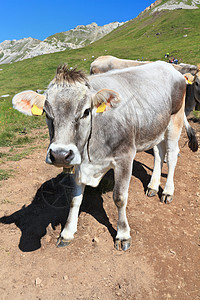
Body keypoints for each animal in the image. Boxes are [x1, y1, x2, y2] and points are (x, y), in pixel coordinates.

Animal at [12, 61, 198, 251]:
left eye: (86, 111)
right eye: (46, 113)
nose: (60, 154)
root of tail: (167, 66)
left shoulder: (124, 157)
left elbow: (120, 198)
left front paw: (122, 235)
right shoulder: (78, 164)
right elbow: (74, 199)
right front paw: (67, 232)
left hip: (175, 120)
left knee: (172, 155)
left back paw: (167, 191)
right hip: (155, 127)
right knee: (159, 153)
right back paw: (153, 186)